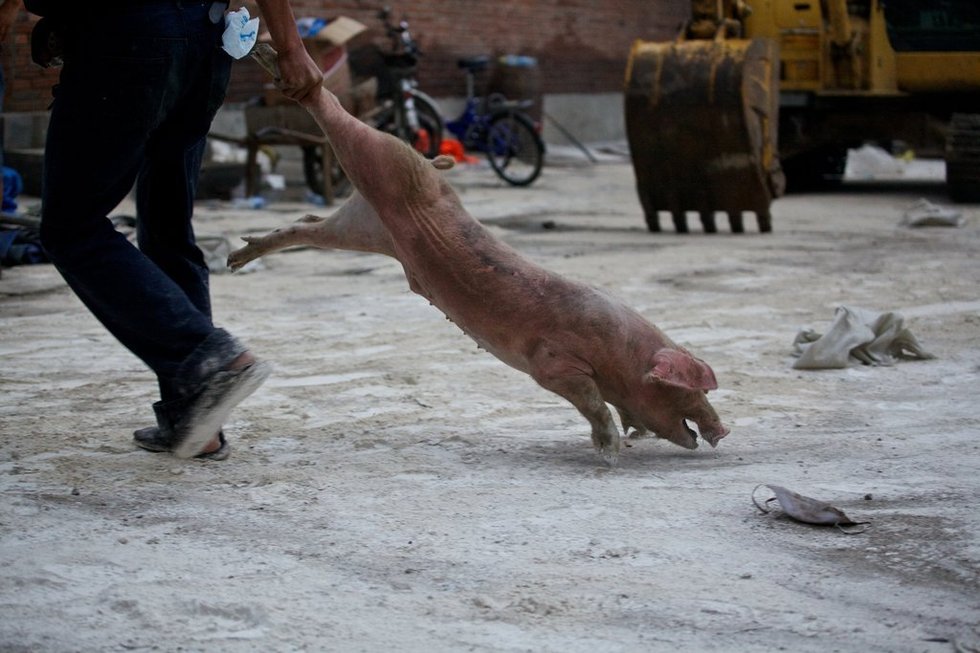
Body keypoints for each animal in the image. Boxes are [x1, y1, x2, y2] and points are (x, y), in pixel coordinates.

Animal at [228, 84, 728, 460]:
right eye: (684, 391)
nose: (723, 431)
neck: (620, 354)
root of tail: (428, 165)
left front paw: (633, 433)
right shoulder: (552, 364)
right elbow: (590, 401)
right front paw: (609, 454)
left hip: (362, 224)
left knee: (307, 223)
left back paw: (237, 260)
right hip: (389, 168)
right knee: (342, 125)